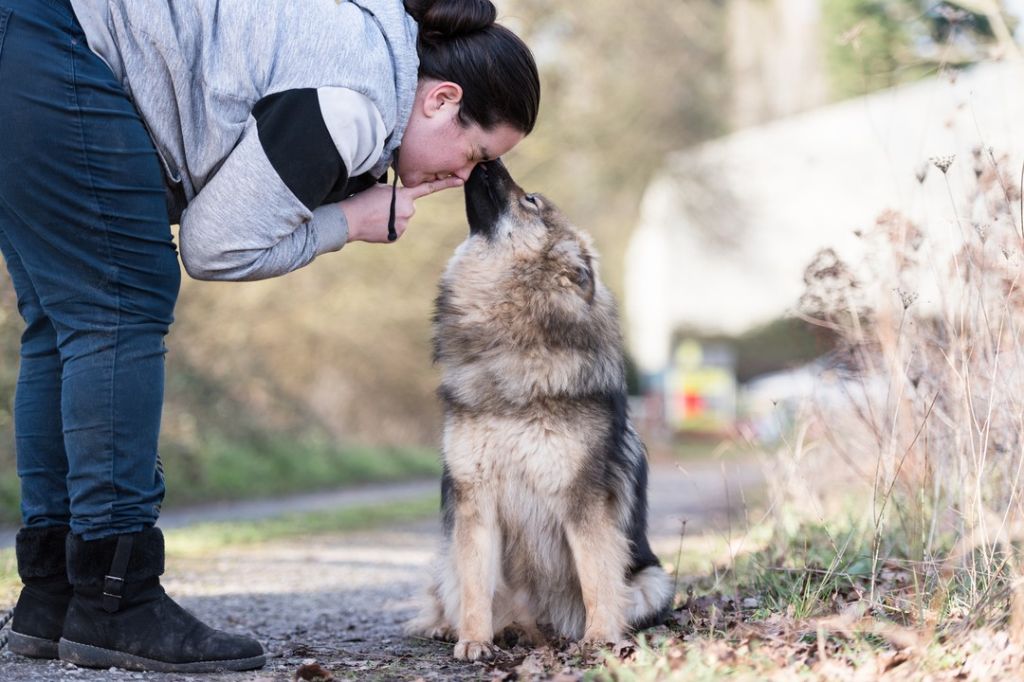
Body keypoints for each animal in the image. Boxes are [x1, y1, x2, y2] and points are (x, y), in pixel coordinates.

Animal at [403, 157, 675, 659]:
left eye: (530, 200)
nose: (488, 159)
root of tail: (541, 627)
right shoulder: (476, 498)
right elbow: (475, 585)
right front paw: (474, 640)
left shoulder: (580, 500)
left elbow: (595, 577)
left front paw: (600, 637)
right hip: (448, 560)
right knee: (455, 593)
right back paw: (462, 629)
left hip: (653, 581)